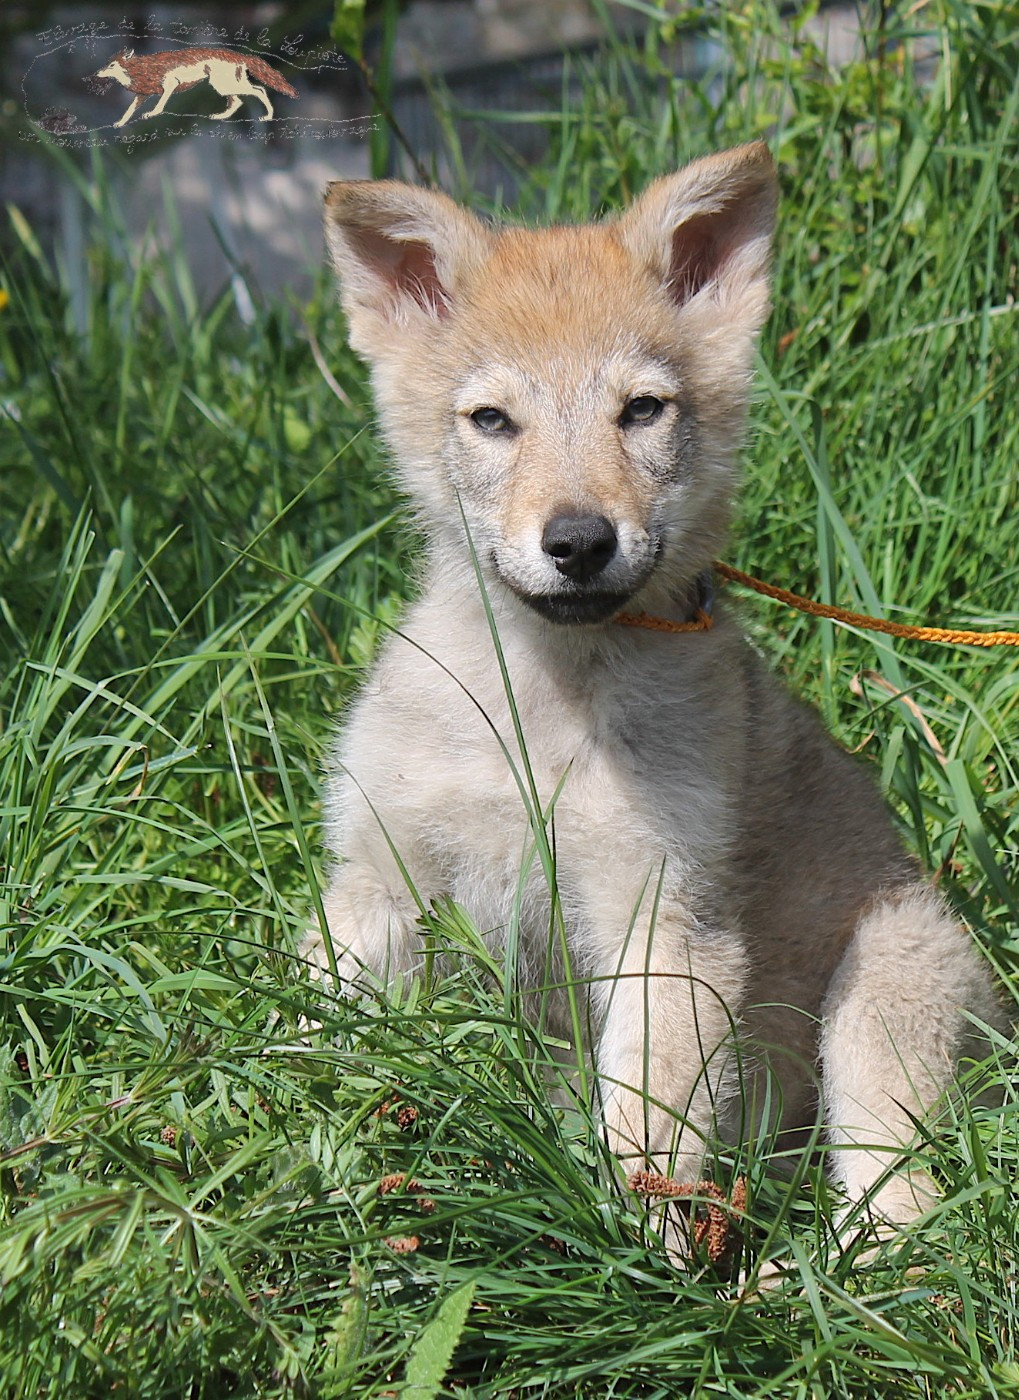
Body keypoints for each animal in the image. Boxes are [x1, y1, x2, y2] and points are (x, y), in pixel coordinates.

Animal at [89, 47, 297, 128]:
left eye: (111, 65)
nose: (96, 73)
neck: (138, 69)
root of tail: (241, 55)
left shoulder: (170, 84)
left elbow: (160, 105)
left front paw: (152, 114)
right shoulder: (141, 95)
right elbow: (128, 111)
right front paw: (120, 123)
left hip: (223, 85)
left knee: (259, 91)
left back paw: (268, 117)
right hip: (224, 87)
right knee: (238, 101)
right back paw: (219, 116)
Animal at [308, 143, 1001, 1248]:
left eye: (641, 410)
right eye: (492, 419)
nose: (579, 541)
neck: (540, 714)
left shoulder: (666, 924)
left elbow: (648, 1138)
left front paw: (630, 1263)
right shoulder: (378, 883)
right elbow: (304, 1047)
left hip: (881, 1004)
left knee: (907, 1215)